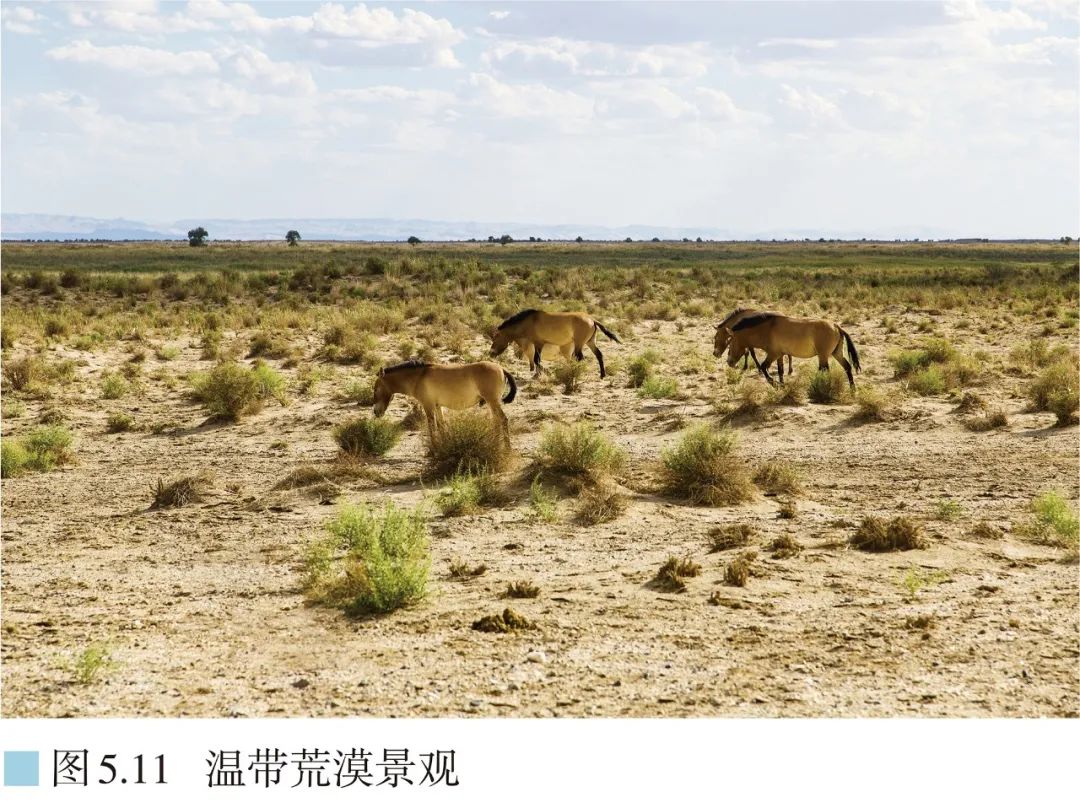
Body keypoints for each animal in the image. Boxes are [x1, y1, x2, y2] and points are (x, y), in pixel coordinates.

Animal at [375, 360, 518, 447]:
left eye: (376, 389)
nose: (376, 412)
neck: (419, 377)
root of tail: (501, 369)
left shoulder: (428, 406)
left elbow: (432, 428)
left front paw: (434, 450)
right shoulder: (438, 407)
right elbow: (441, 427)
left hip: (493, 402)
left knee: (503, 420)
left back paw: (507, 449)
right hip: (492, 404)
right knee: (496, 421)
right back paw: (495, 444)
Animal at [717, 311, 859, 386]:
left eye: (730, 342)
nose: (729, 362)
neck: (767, 329)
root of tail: (836, 326)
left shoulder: (773, 354)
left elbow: (763, 367)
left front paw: (774, 384)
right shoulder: (779, 355)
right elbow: (780, 371)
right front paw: (781, 385)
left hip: (823, 355)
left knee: (825, 370)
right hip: (836, 353)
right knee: (847, 367)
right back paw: (852, 389)